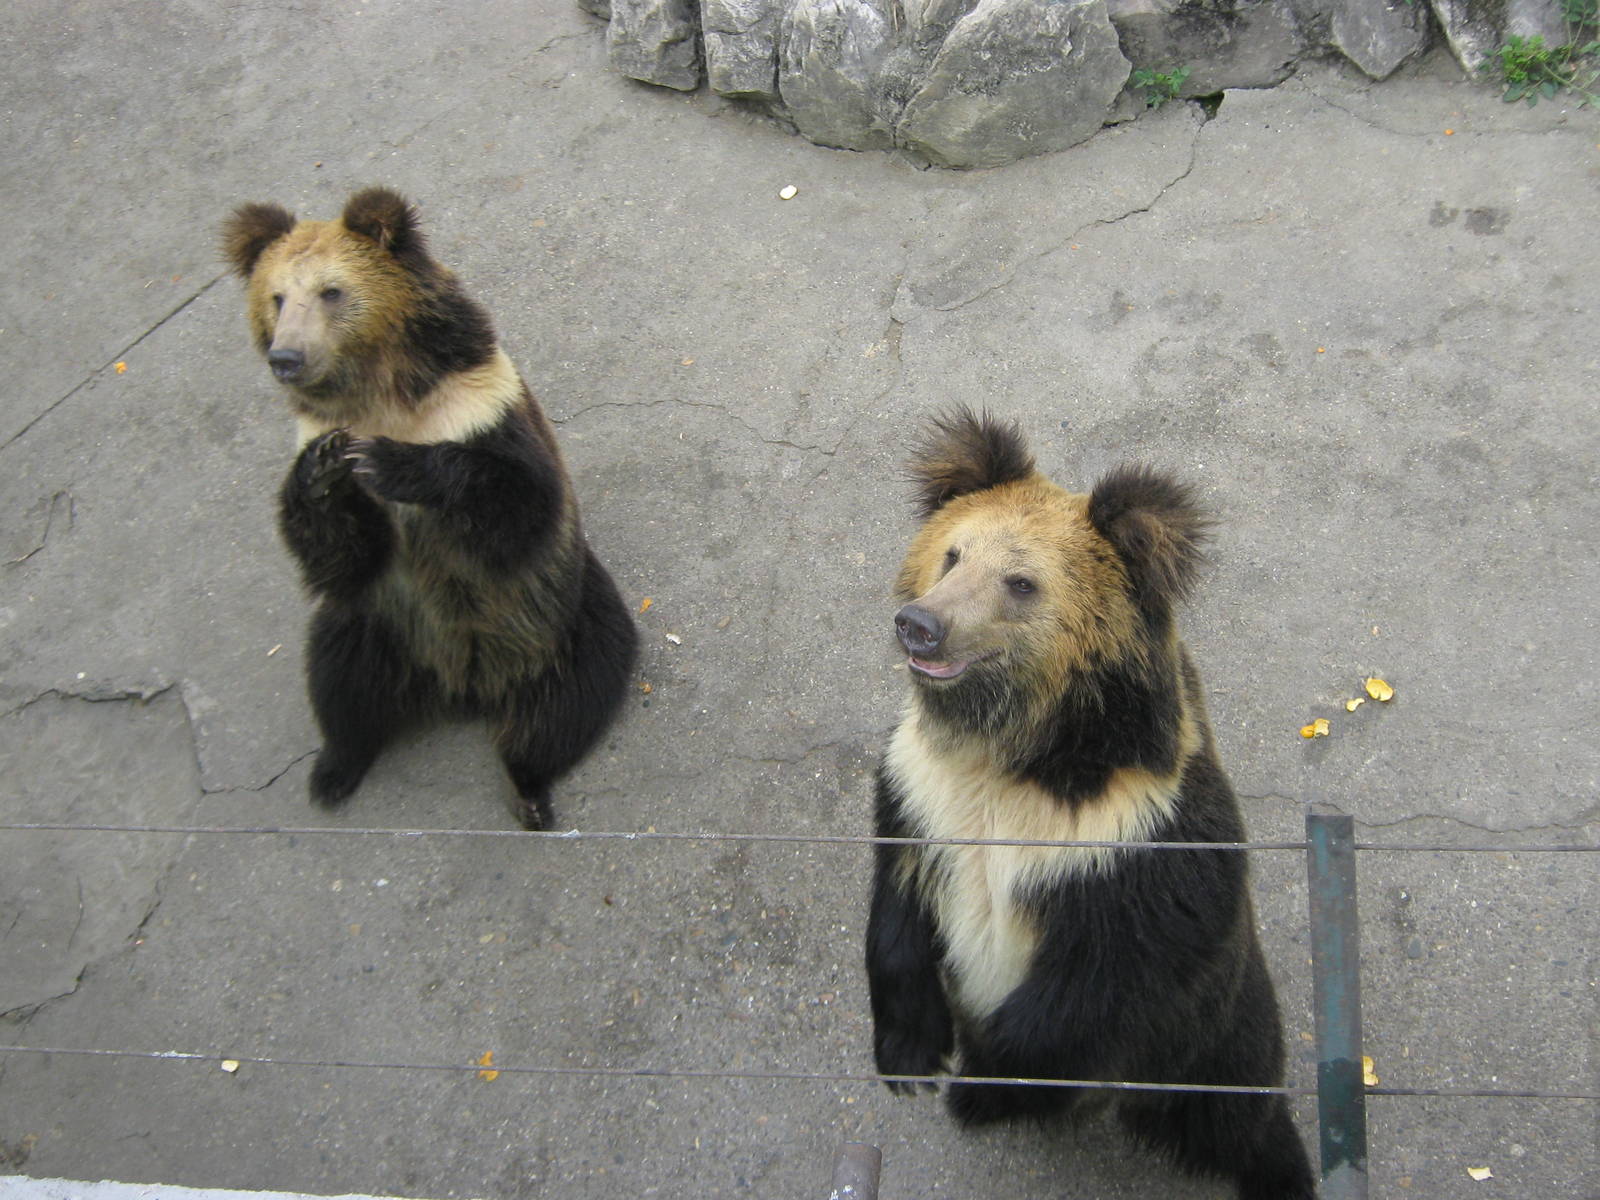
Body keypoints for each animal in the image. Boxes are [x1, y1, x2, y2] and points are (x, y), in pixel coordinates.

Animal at [221, 187, 637, 831]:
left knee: (570, 698)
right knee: (339, 678)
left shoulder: (479, 407)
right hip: (379, 621)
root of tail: (463, 685)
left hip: (559, 617)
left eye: (331, 291)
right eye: (276, 297)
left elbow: (515, 500)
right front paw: (324, 467)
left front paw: (389, 461)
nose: (285, 357)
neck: (380, 390)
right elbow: (340, 549)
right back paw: (334, 769)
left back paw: (529, 787)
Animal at [865, 409, 1315, 1200]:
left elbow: (1094, 990)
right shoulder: (923, 793)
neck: (1017, 756)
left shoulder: (1133, 842)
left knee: (1240, 1118)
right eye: (952, 554)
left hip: (1216, 1047)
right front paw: (913, 1056)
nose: (919, 624)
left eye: (1019, 582)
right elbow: (898, 912)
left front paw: (978, 1090)